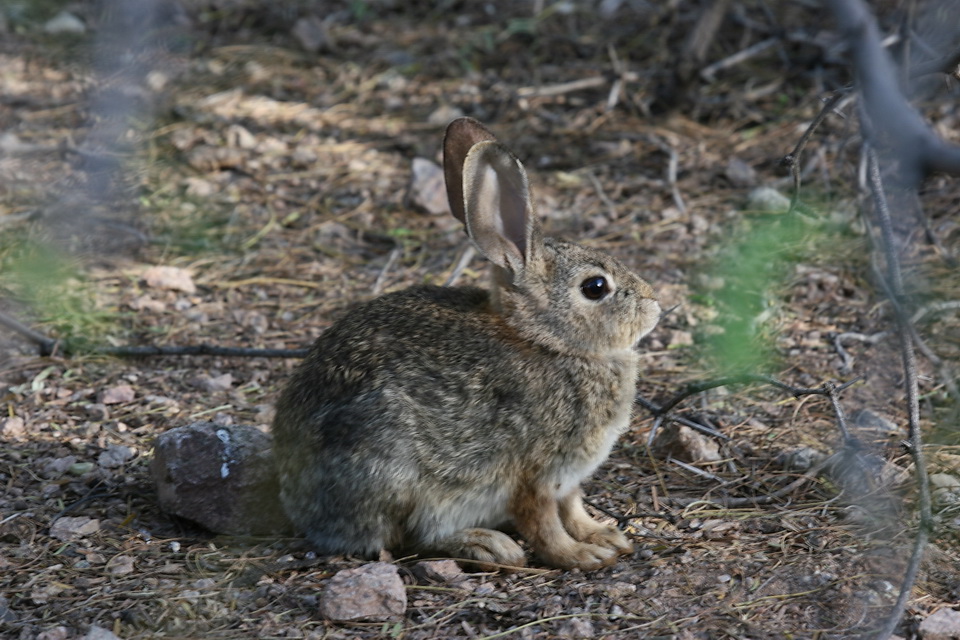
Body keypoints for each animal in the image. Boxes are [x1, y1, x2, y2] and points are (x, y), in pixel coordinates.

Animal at [271, 117, 660, 570]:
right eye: (595, 287)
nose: (654, 304)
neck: (546, 341)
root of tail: (296, 502)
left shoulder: (569, 479)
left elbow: (574, 507)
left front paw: (604, 536)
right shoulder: (534, 472)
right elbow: (544, 523)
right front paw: (581, 555)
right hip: (396, 474)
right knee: (411, 537)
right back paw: (488, 545)